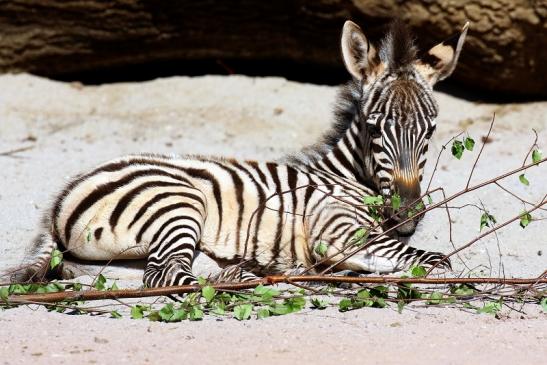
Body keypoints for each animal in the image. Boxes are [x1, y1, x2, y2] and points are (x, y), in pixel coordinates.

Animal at [4, 19, 468, 288]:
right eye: (374, 129)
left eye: (430, 131)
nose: (406, 217)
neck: (345, 177)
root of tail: (60, 198)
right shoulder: (335, 228)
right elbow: (433, 261)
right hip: (177, 203)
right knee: (164, 275)